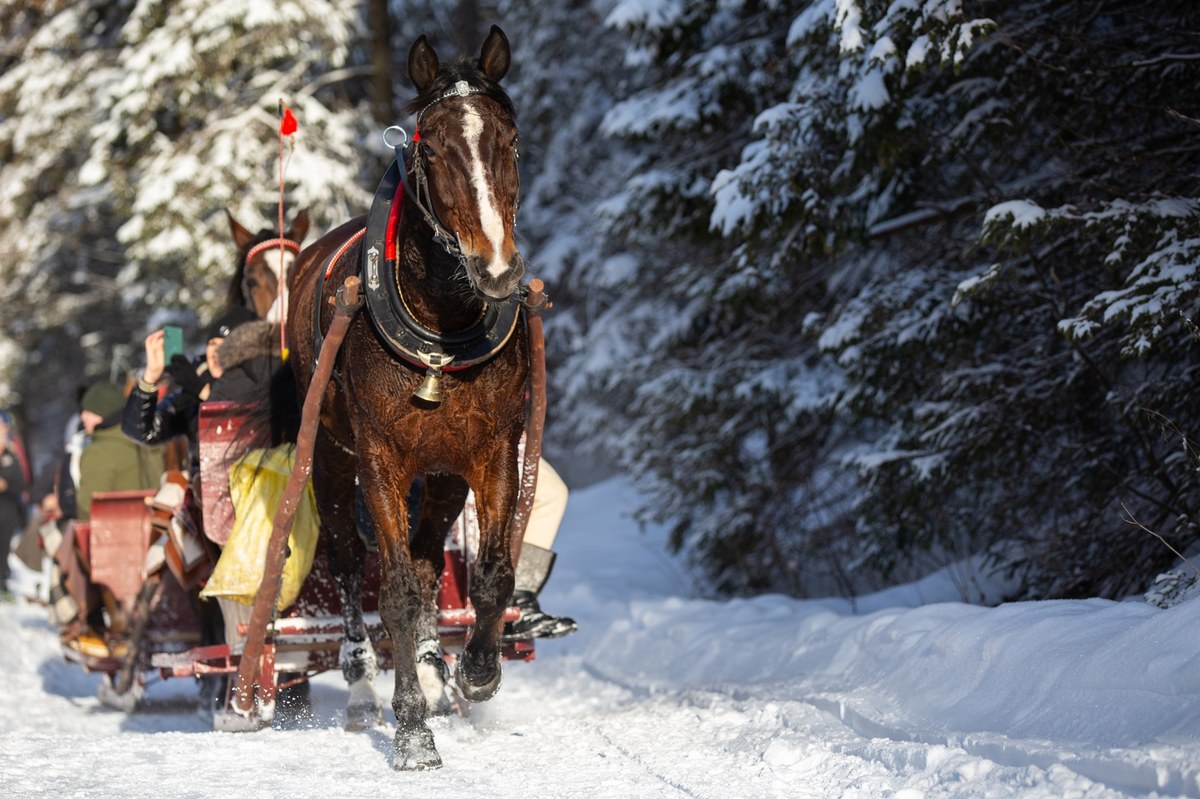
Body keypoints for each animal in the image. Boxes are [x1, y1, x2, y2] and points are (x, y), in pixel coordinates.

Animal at [283, 28, 528, 767]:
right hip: (331, 463)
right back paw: (364, 687)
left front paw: (476, 669)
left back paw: (434, 667)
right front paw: (413, 730)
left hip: (443, 474)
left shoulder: (491, 450)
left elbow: (491, 573)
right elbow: (388, 588)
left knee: (425, 563)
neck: (441, 327)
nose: (497, 269)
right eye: (433, 148)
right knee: (348, 561)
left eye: (508, 140)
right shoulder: (380, 459)